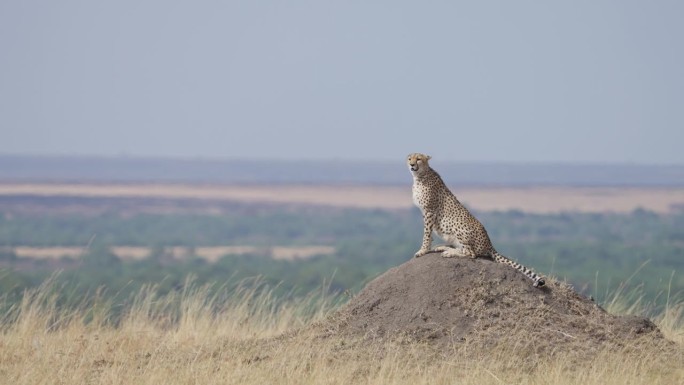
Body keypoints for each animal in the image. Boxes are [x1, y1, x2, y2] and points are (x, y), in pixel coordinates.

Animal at [406, 152, 544, 286]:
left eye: (418, 159)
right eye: (409, 158)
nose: (412, 164)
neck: (420, 175)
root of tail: (489, 244)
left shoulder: (429, 211)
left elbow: (426, 233)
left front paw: (423, 250)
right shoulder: (425, 212)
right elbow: (428, 233)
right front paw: (427, 247)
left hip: (459, 226)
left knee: (470, 253)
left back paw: (449, 252)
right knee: (464, 249)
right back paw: (444, 247)